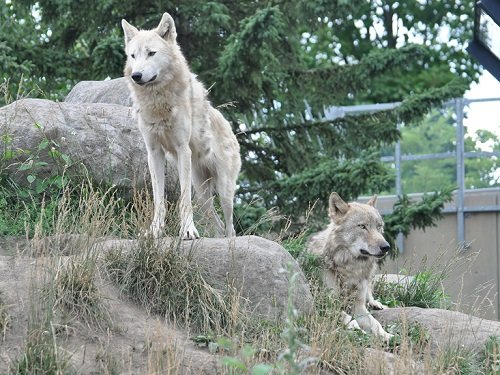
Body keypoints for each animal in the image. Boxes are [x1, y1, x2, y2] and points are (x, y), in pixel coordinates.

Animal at [123, 13, 242, 241]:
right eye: (133, 56)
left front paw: (187, 230)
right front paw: (155, 231)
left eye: (151, 53)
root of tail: (229, 127)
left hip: (223, 191)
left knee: (230, 226)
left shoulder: (182, 150)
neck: (158, 102)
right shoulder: (154, 152)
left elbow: (183, 200)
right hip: (202, 193)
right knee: (219, 225)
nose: (136, 75)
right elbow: (159, 199)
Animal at [308, 192, 394, 342]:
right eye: (362, 226)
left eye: (379, 226)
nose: (386, 247)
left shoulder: (358, 306)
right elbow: (348, 318)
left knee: (369, 293)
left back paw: (376, 303)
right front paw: (356, 329)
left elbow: (375, 323)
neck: (350, 268)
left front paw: (386, 335)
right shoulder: (326, 302)